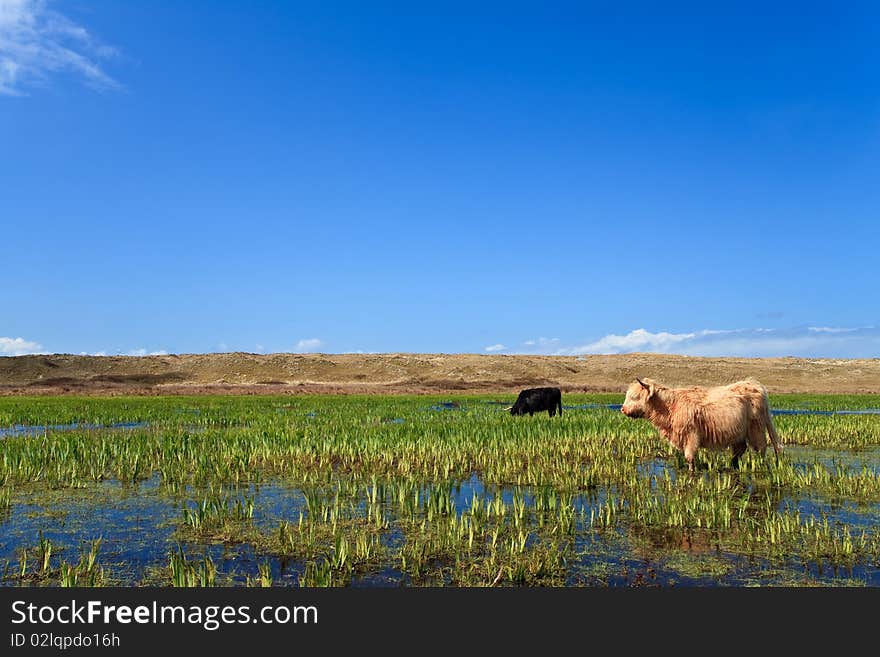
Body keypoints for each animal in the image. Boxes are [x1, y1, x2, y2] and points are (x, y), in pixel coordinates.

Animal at [620, 374, 784, 472]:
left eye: (634, 397)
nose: (622, 409)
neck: (669, 407)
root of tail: (756, 385)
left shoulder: (691, 435)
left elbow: (689, 457)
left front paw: (692, 472)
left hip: (756, 427)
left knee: (761, 448)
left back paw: (759, 465)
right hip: (739, 432)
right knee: (740, 449)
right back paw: (732, 465)